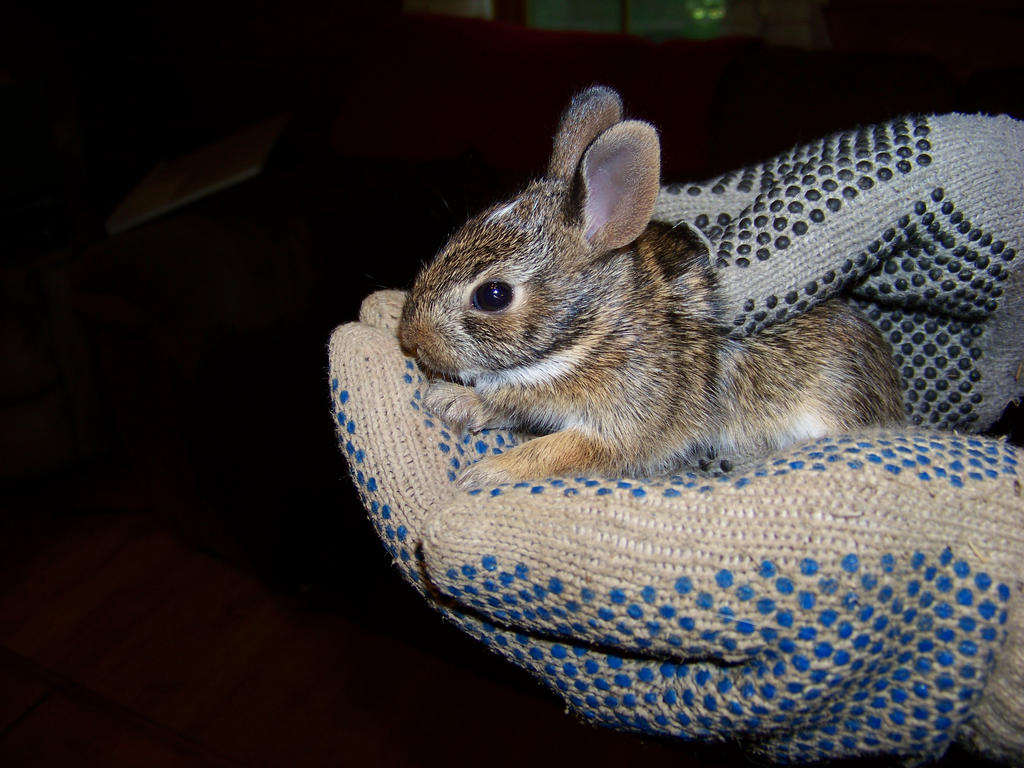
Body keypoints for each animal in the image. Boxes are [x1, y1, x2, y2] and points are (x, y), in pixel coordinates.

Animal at [398, 85, 904, 489]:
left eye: (493, 295)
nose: (411, 340)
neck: (594, 332)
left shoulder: (626, 419)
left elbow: (560, 451)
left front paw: (487, 473)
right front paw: (452, 401)